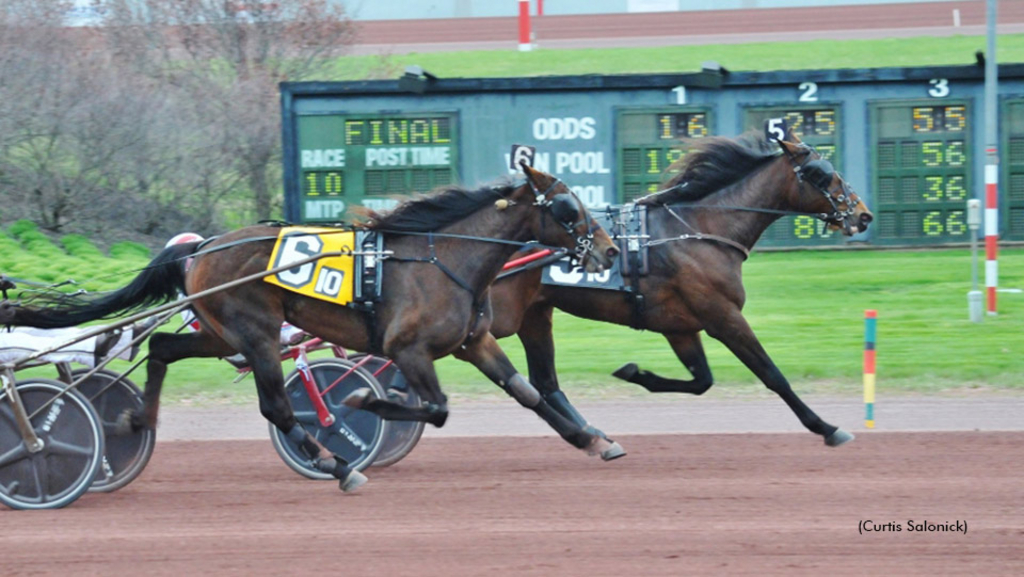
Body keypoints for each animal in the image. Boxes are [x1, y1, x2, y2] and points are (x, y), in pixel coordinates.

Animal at [8, 166, 618, 491]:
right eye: (567, 207)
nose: (610, 250)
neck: (443, 258)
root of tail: (203, 246)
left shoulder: (474, 341)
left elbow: (527, 393)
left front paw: (593, 439)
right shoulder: (408, 349)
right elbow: (436, 407)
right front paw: (364, 404)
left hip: (220, 331)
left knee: (160, 345)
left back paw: (136, 419)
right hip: (255, 333)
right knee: (276, 406)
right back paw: (336, 463)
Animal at [487, 127, 872, 450]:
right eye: (821, 173)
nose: (863, 215)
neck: (699, 230)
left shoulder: (681, 327)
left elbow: (702, 381)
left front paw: (635, 373)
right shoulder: (723, 316)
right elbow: (773, 375)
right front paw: (827, 428)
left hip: (535, 314)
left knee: (547, 384)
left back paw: (593, 435)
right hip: (500, 317)